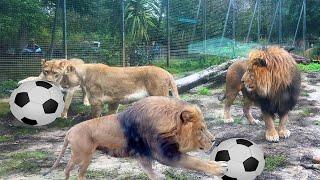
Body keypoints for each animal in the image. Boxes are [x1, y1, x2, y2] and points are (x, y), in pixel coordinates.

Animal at [43, 97, 228, 180]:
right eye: (201, 129)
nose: (214, 140)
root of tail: (70, 130)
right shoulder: (164, 153)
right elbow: (194, 161)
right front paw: (219, 168)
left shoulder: (143, 154)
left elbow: (149, 170)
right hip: (82, 154)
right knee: (71, 169)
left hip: (84, 156)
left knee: (73, 169)